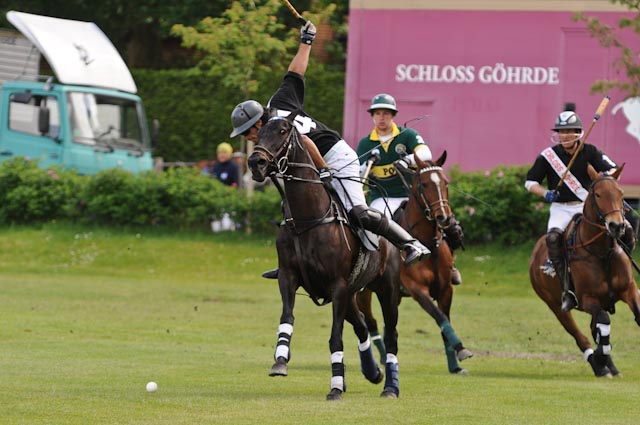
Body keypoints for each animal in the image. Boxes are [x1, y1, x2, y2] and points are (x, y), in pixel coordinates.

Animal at [247, 116, 404, 400]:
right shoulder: (289, 277)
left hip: (386, 289)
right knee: (362, 326)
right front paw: (280, 361)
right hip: (352, 294)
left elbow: (335, 337)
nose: (256, 163)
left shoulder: (337, 286)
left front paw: (335, 388)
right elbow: (287, 317)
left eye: (283, 131)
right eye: (258, 134)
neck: (307, 219)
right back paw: (372, 372)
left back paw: (390, 386)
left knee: (391, 336)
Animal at [357, 151, 473, 375]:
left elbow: (444, 321)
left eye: (445, 182)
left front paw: (455, 364)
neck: (427, 243)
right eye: (424, 185)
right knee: (371, 322)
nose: (444, 218)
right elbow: (439, 317)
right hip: (363, 292)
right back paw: (383, 358)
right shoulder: (417, 289)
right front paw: (461, 349)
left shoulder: (446, 289)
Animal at [530, 165, 640, 377]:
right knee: (580, 335)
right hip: (554, 304)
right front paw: (600, 357)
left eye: (621, 194)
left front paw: (605, 358)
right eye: (598, 194)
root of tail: (536, 251)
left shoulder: (629, 289)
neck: (602, 252)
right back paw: (598, 364)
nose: (617, 226)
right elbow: (603, 322)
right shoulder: (587, 298)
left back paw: (610, 366)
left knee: (594, 328)